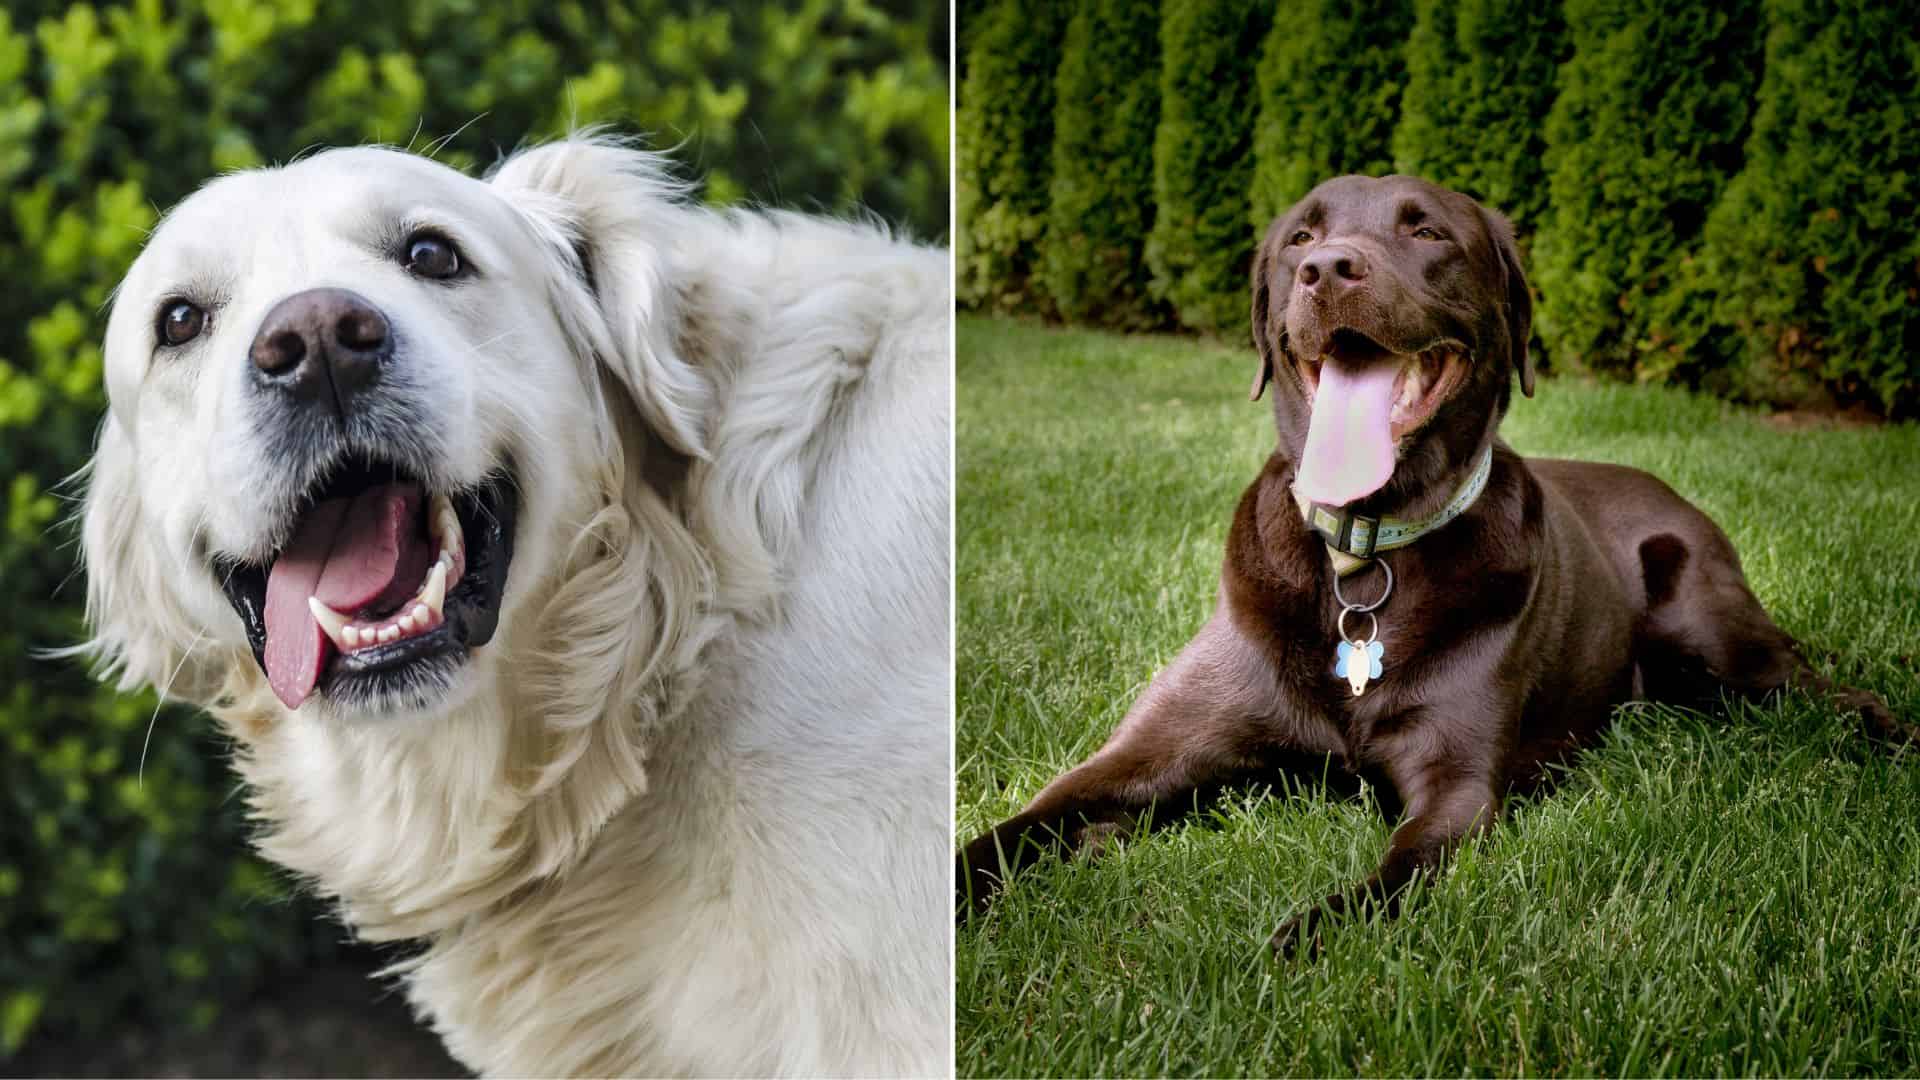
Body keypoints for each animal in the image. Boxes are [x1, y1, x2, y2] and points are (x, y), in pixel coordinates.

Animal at [956, 174, 1904, 949]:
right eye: (1301, 237)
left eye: (1427, 231)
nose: (1330, 269)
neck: (1364, 557)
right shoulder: (1147, 753)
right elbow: (1023, 824)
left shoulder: (1456, 791)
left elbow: (1375, 890)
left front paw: (1289, 945)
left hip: (1722, 637)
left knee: (1832, 691)